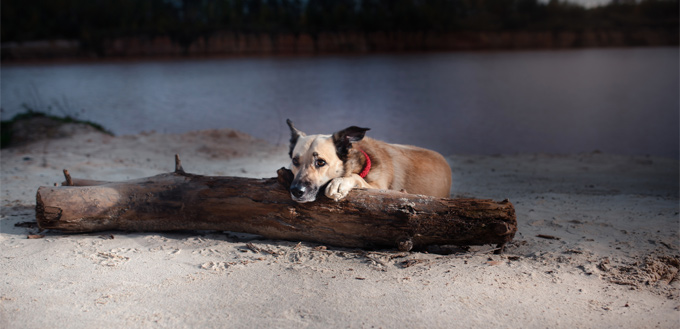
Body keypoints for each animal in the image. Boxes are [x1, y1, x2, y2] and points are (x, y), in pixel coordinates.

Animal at [286, 119, 452, 202]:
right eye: (295, 161)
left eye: (320, 162)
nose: (296, 191)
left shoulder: (382, 189)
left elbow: (356, 177)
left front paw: (339, 183)